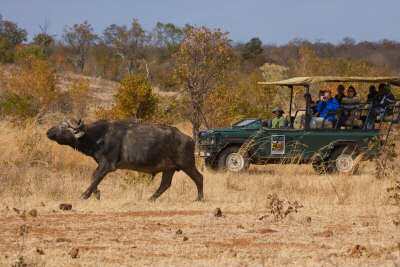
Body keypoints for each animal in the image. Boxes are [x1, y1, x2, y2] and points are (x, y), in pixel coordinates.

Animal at [46, 118, 203, 202]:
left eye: (62, 126)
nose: (48, 132)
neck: (97, 137)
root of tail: (189, 139)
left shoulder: (107, 165)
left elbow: (96, 178)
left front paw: (85, 194)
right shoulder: (101, 164)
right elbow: (93, 177)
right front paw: (96, 194)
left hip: (187, 164)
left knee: (199, 177)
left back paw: (199, 198)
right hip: (169, 168)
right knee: (165, 184)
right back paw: (150, 199)